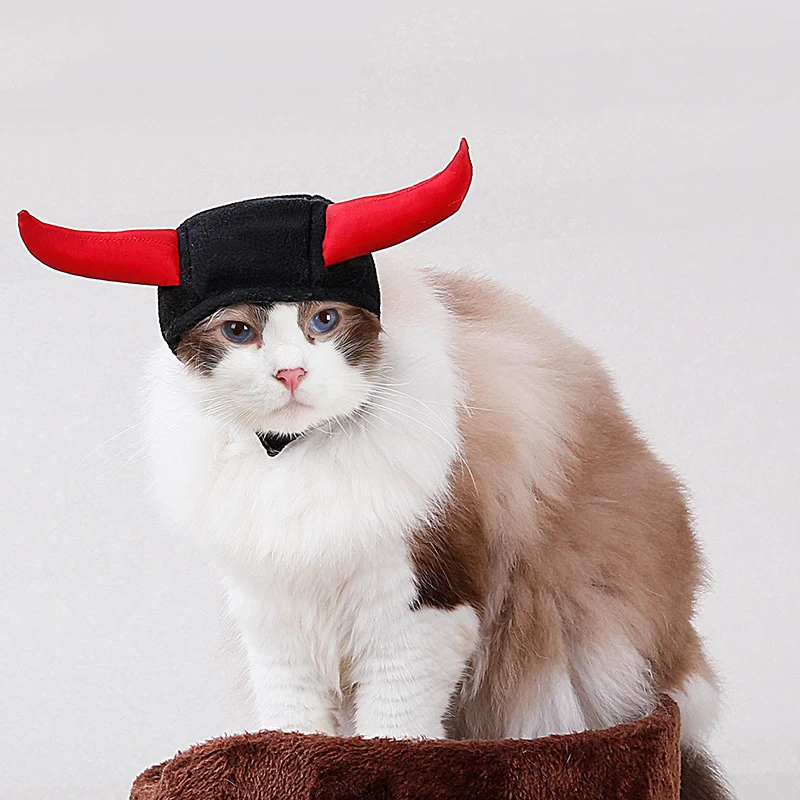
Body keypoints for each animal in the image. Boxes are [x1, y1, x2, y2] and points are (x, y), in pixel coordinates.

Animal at [146, 254, 732, 799]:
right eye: (239, 332)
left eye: (325, 320)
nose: (291, 373)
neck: (296, 457)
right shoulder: (273, 613)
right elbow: (290, 731)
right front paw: (288, 761)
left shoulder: (421, 603)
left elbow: (394, 731)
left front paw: (380, 765)